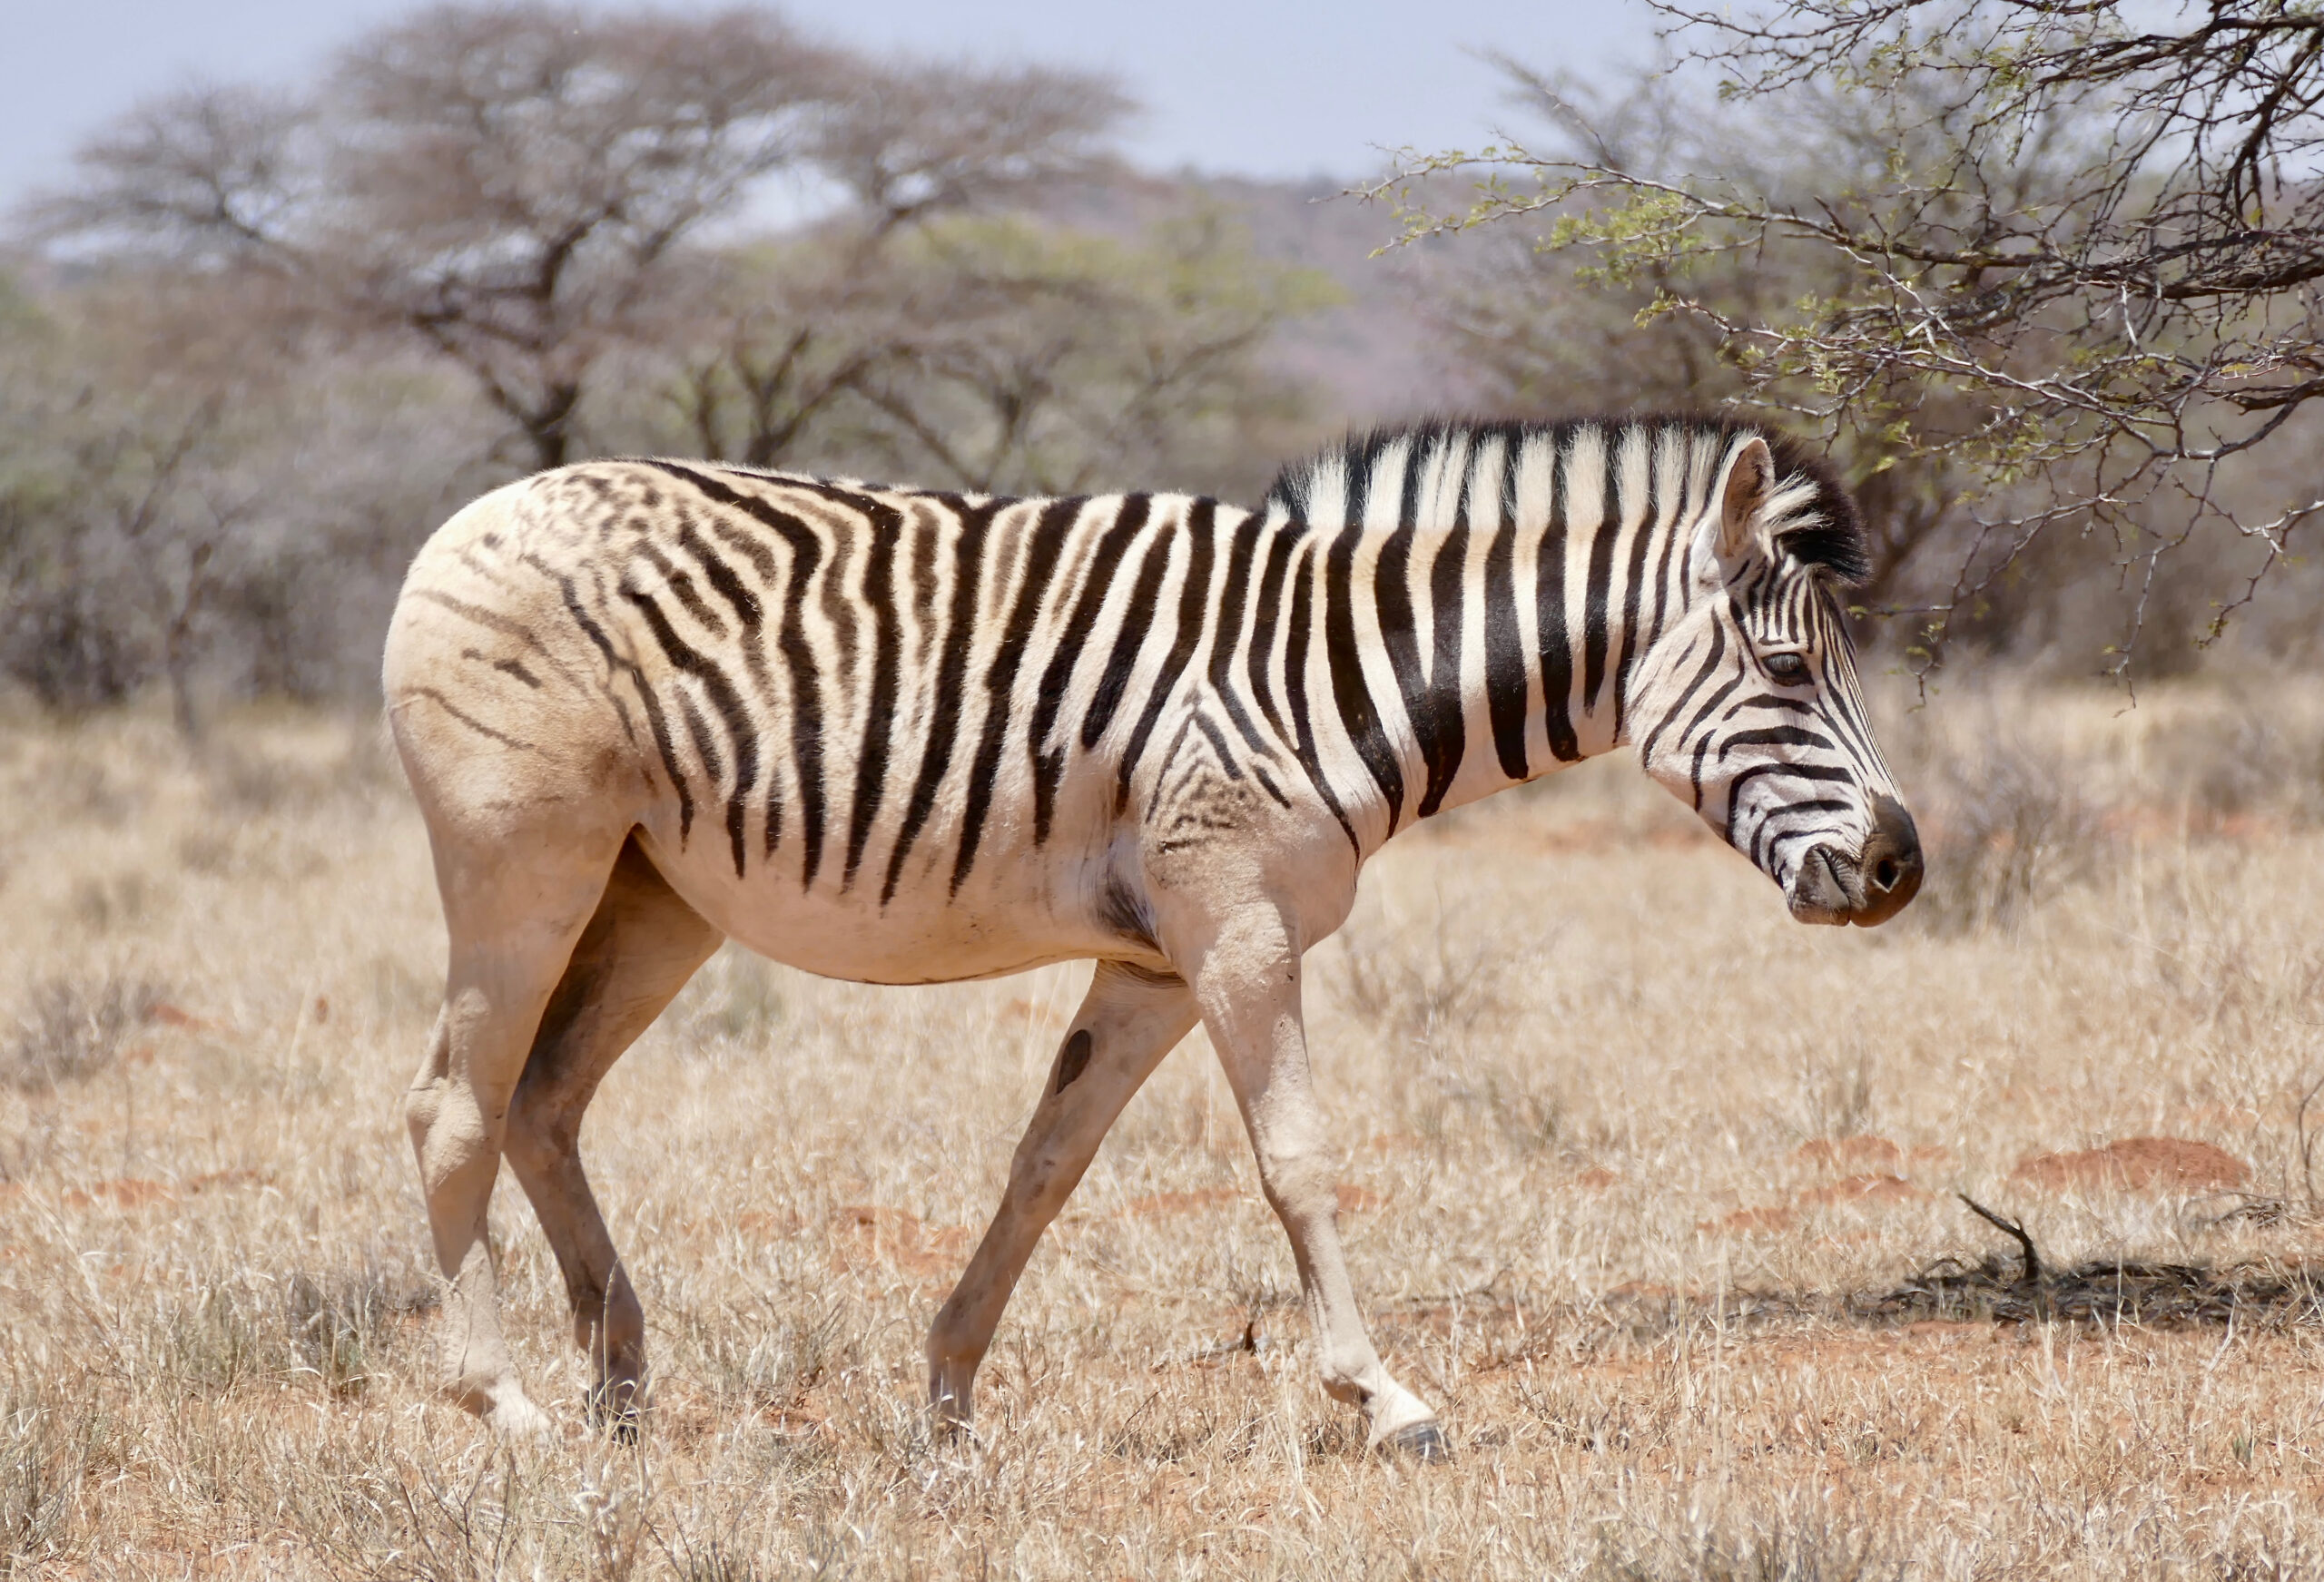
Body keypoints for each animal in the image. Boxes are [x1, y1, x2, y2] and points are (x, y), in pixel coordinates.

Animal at [385, 411, 1924, 1459]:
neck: (1336, 677)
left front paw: (948, 1394)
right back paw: (503, 1400)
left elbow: (1045, 1163)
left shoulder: (1152, 958)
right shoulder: (1237, 923)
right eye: (1790, 668)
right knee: (454, 1105)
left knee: (544, 1098)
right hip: (524, 864)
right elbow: (1297, 1158)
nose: (1902, 864)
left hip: (655, 895)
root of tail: (471, 514)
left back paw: (619, 1373)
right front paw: (1386, 1396)